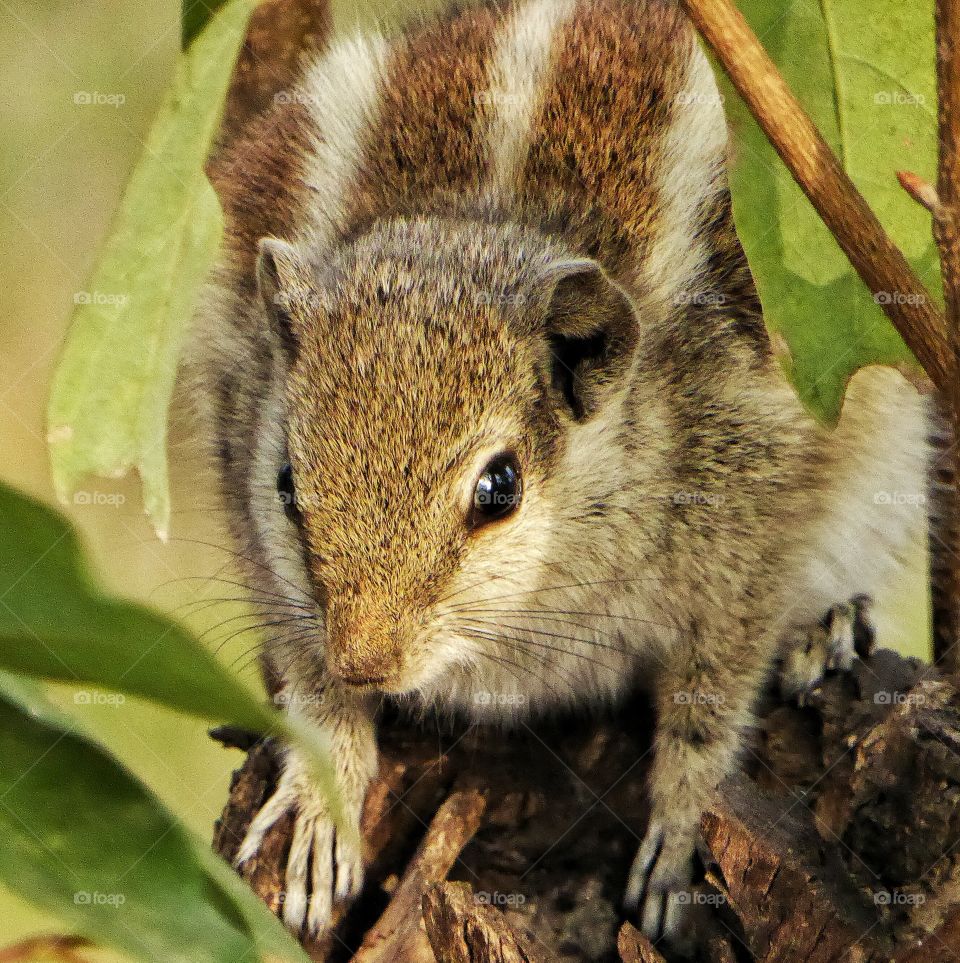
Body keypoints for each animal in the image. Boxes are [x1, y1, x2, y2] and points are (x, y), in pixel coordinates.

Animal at [187, 0, 936, 947]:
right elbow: (307, 677)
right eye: (287, 483)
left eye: (498, 488)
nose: (367, 661)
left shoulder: (749, 535)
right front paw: (324, 806)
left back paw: (827, 626)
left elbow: (713, 701)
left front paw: (677, 836)